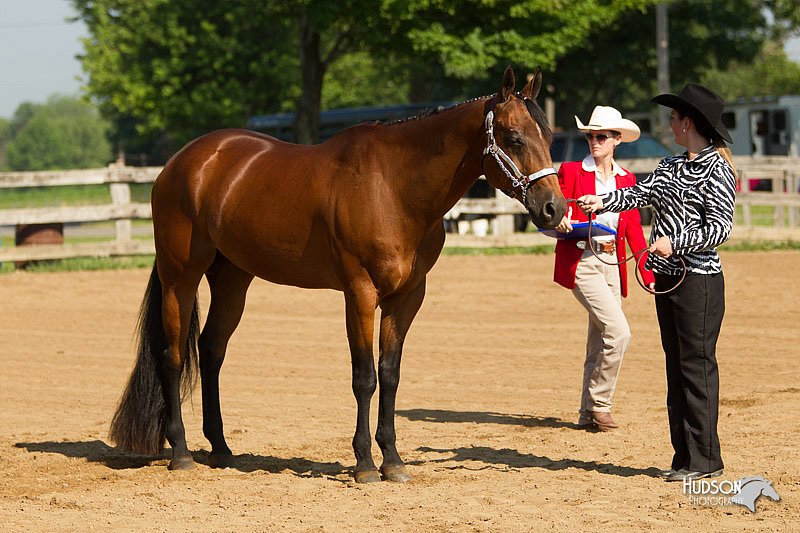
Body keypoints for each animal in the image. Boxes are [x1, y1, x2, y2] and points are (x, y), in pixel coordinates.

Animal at [108, 65, 568, 482]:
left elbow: (390, 374)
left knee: (211, 351)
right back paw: (181, 452)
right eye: (514, 138)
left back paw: (221, 448)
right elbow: (364, 377)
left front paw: (393, 461)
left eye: (548, 137)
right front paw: (365, 463)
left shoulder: (407, 297)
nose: (554, 209)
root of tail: (180, 163)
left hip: (233, 280)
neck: (393, 187)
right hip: (180, 276)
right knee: (173, 355)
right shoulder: (359, 292)